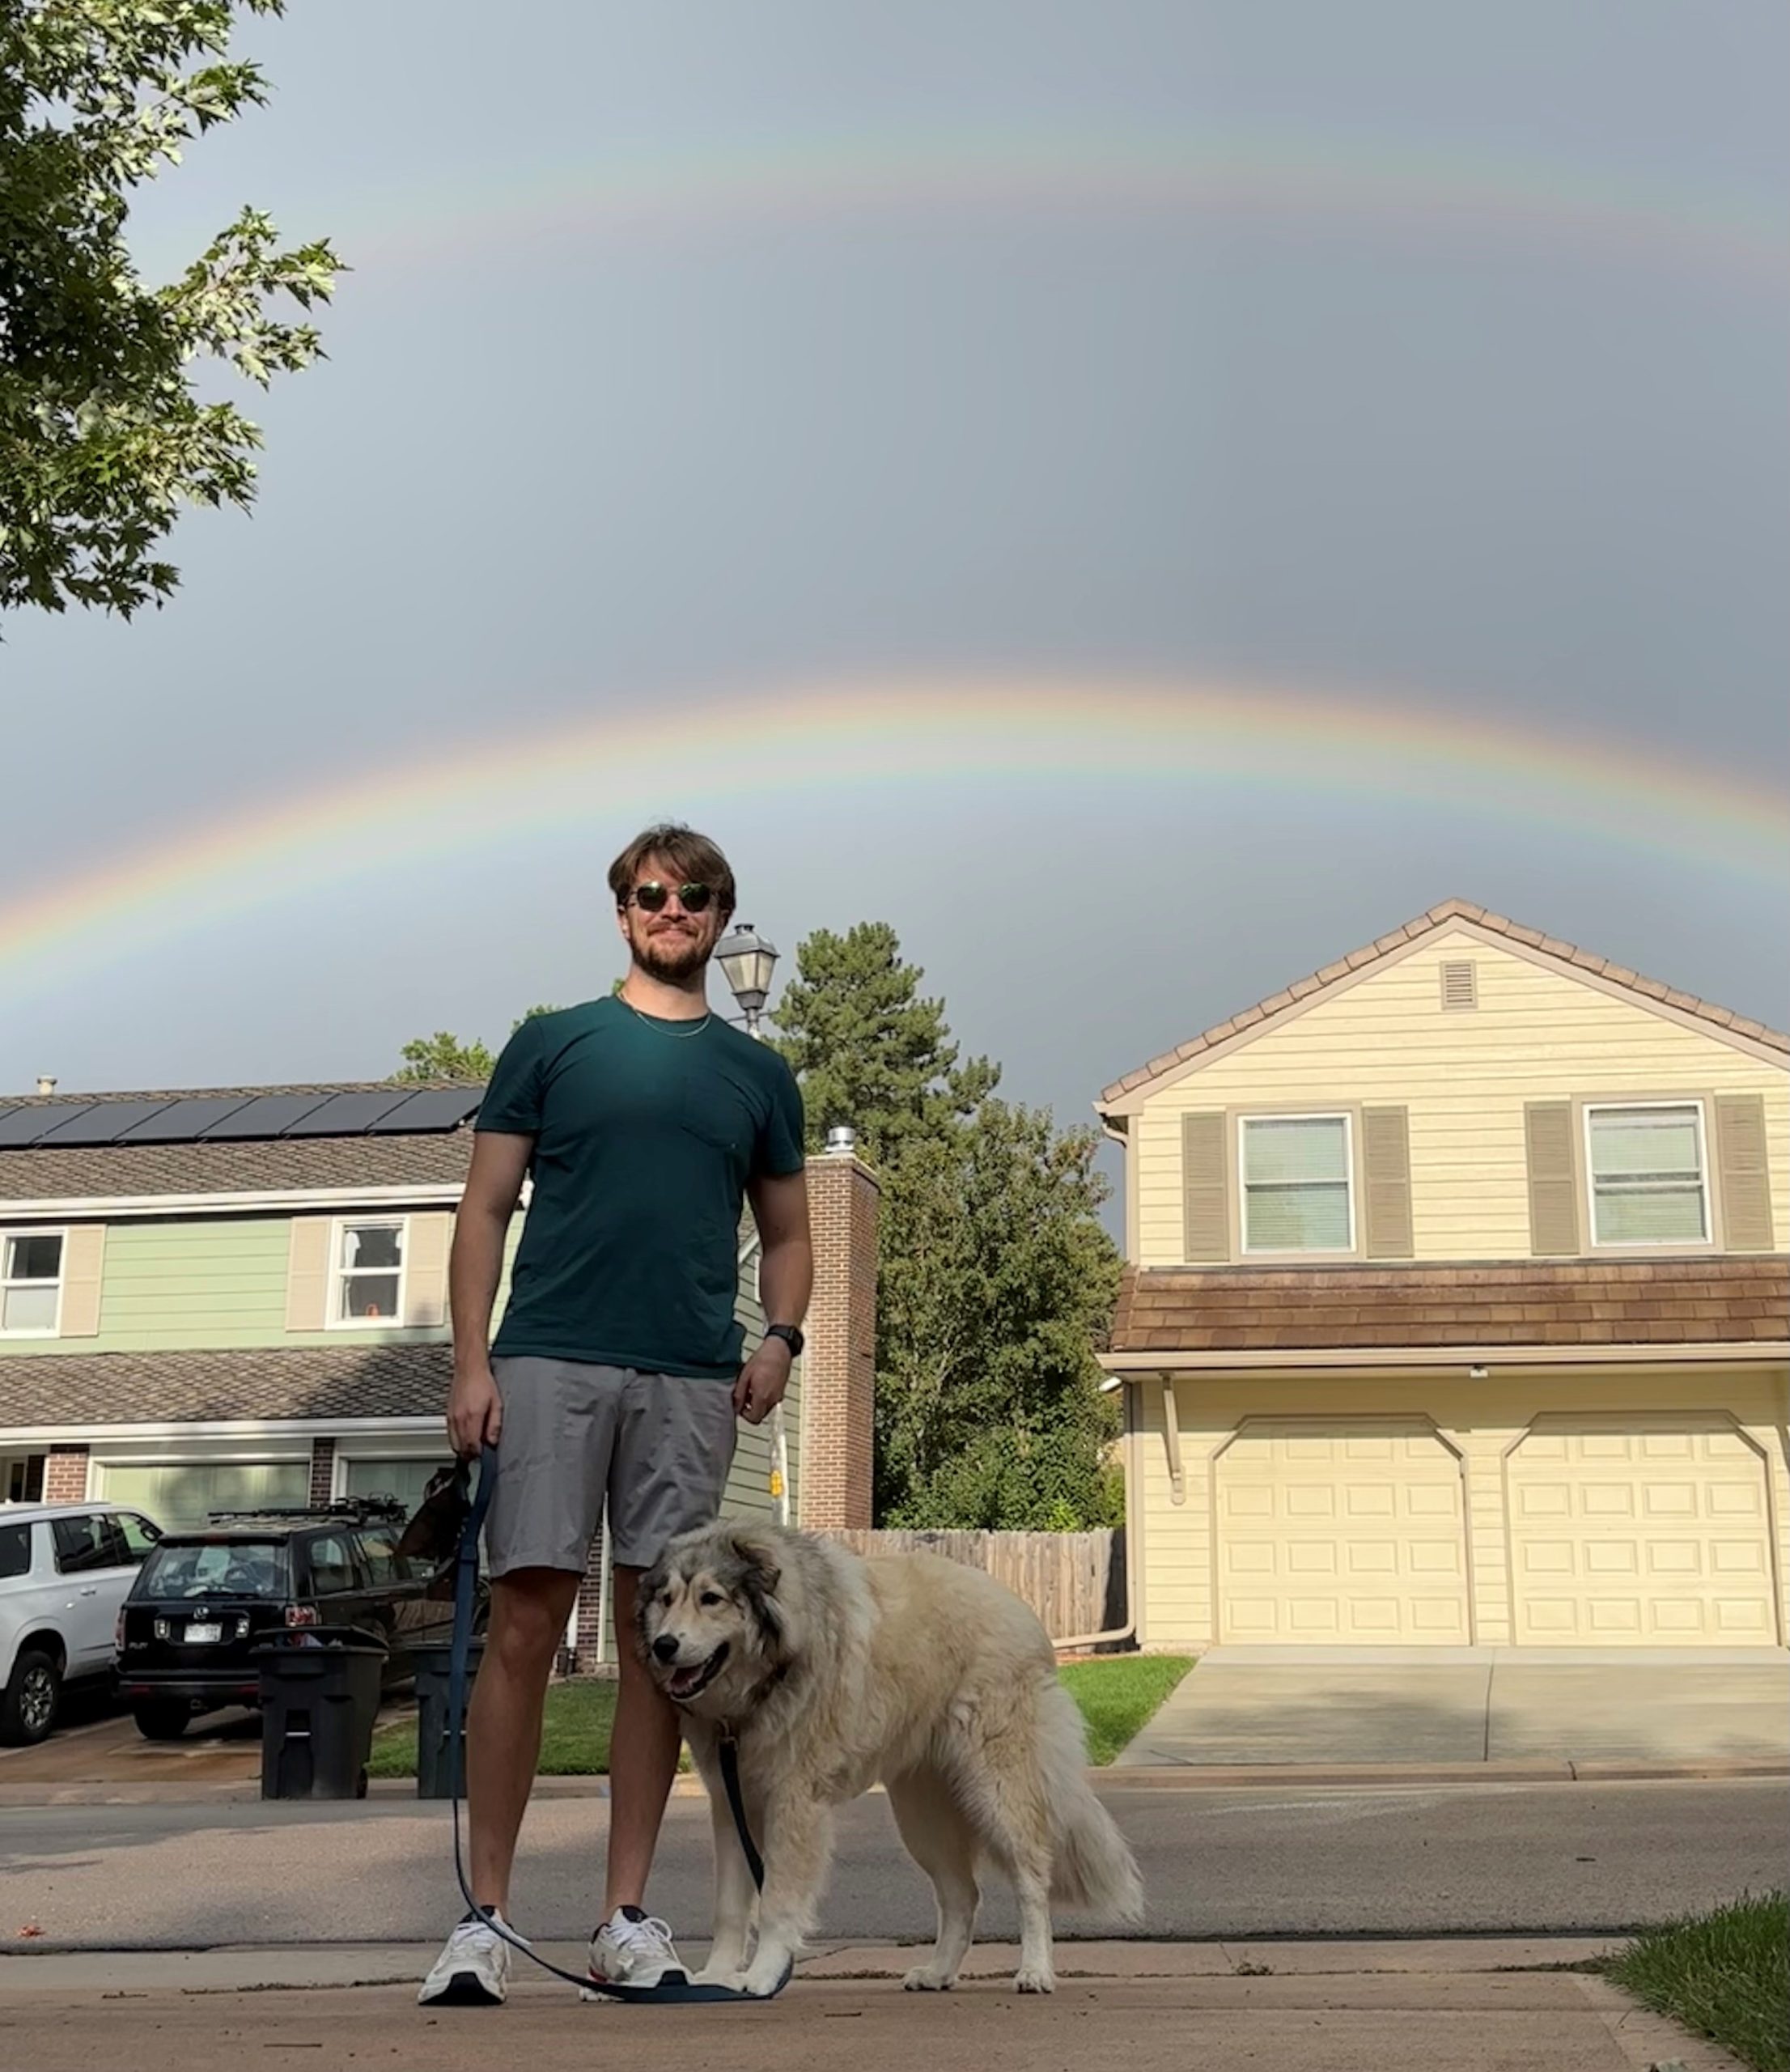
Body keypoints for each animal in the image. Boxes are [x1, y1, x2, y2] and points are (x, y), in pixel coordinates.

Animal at [638, 1516, 1143, 1997]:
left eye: (712, 1598)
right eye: (666, 1598)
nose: (664, 1646)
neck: (768, 1676)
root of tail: (1021, 1610)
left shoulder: (794, 1804)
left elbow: (778, 1901)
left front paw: (762, 1976)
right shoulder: (731, 1805)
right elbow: (728, 1907)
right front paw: (716, 1977)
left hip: (999, 1792)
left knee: (1032, 1877)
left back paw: (1035, 1970)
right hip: (922, 1818)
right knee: (962, 1896)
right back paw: (938, 1973)